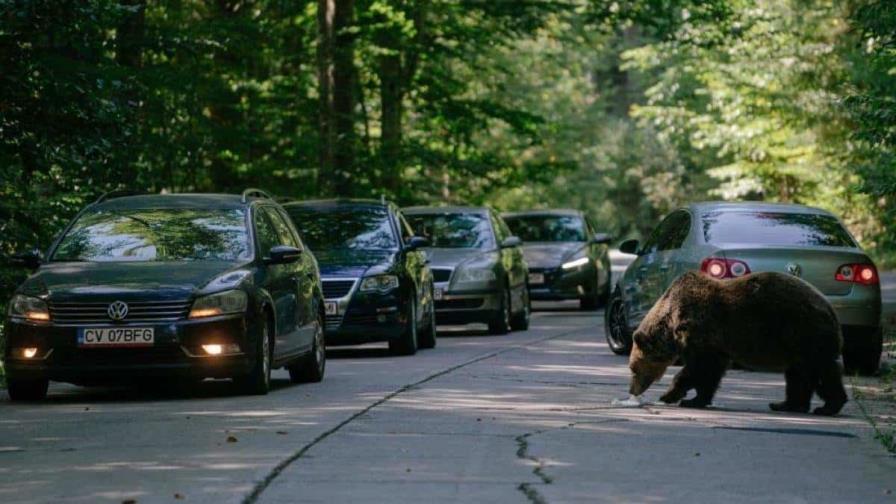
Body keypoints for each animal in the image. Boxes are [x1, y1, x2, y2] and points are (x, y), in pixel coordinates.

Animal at [632, 274, 848, 416]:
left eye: (634, 368)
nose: (632, 390)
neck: (671, 325)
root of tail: (830, 309)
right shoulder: (716, 345)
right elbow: (711, 373)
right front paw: (697, 399)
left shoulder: (700, 330)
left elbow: (699, 367)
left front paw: (670, 395)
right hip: (798, 343)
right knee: (799, 374)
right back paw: (786, 404)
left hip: (803, 332)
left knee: (821, 370)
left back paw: (827, 406)